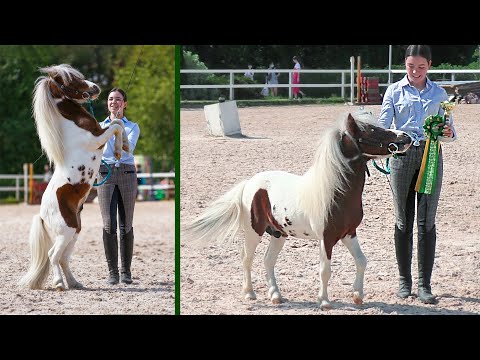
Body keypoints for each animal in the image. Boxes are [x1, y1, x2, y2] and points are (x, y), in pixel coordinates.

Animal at [19, 64, 129, 290]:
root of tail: (42, 215)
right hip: (66, 232)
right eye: (70, 81)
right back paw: (59, 283)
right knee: (53, 255)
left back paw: (74, 282)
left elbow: (118, 123)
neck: (74, 124)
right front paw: (118, 151)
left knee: (63, 258)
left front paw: (122, 148)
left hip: (75, 231)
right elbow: (115, 124)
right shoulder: (97, 139)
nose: (96, 87)